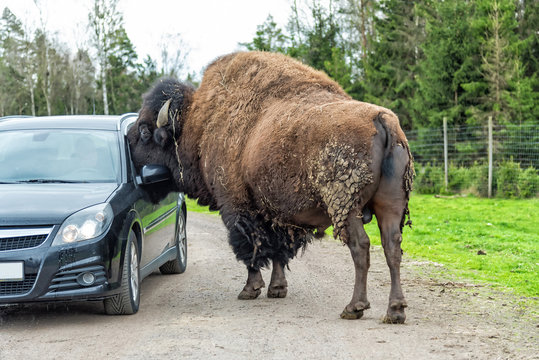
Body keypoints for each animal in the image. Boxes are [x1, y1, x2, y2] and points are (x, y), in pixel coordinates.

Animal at [129, 51, 416, 324]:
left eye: (144, 132)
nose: (128, 145)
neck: (199, 124)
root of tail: (382, 120)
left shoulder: (236, 206)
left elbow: (250, 247)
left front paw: (250, 289)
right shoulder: (277, 214)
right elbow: (279, 250)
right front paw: (277, 288)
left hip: (346, 207)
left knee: (361, 247)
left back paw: (354, 307)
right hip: (391, 205)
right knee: (392, 247)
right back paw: (395, 311)